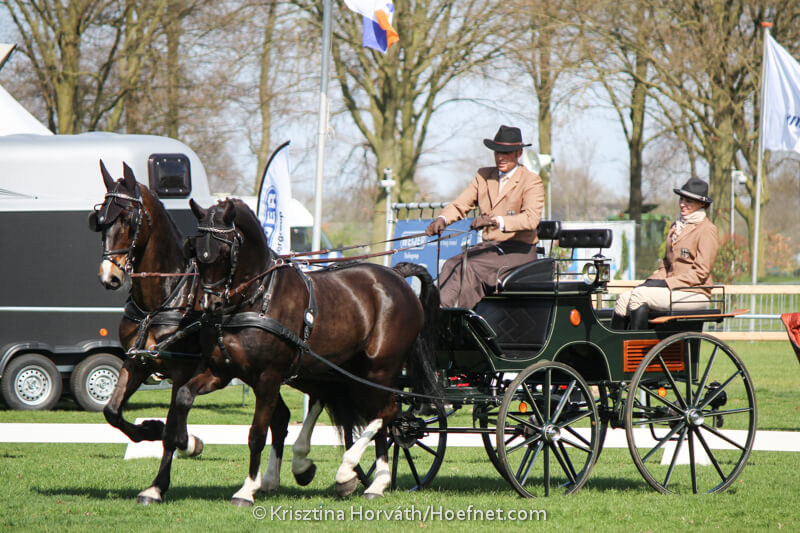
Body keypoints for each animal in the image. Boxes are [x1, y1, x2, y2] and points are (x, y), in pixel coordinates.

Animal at [89, 162, 294, 504]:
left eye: (129, 219)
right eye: (99, 221)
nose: (110, 277)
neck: (167, 295)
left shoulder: (183, 370)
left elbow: (174, 429)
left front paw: (163, 477)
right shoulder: (137, 361)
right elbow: (112, 411)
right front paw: (150, 431)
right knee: (280, 417)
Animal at [182, 197, 440, 504]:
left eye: (225, 252)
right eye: (196, 251)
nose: (211, 305)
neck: (257, 298)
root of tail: (397, 276)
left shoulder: (268, 378)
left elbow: (258, 433)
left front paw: (247, 489)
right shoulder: (221, 371)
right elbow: (186, 395)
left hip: (377, 370)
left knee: (386, 413)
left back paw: (351, 471)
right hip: (347, 373)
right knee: (375, 416)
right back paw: (373, 481)